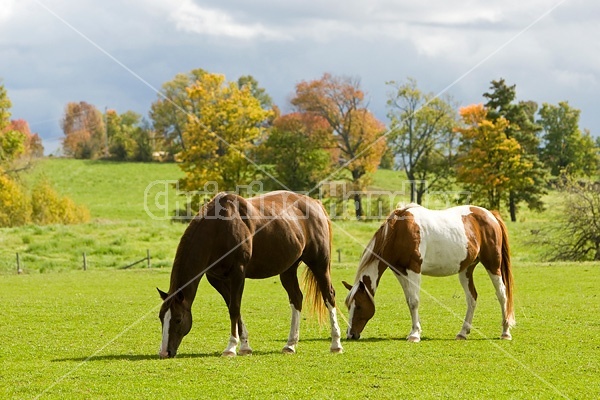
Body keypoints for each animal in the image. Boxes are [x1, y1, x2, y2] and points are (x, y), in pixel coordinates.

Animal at [157, 191, 344, 360]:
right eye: (161, 318)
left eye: (178, 319)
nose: (165, 352)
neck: (219, 229)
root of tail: (315, 204)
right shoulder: (217, 279)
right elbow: (233, 308)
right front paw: (245, 347)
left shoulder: (238, 274)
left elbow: (234, 308)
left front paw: (231, 348)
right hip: (288, 269)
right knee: (296, 298)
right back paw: (290, 345)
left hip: (319, 264)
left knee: (329, 296)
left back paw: (336, 344)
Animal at [342, 205, 516, 342]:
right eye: (348, 305)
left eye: (358, 306)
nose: (351, 335)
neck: (398, 231)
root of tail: (490, 215)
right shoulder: (400, 271)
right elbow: (409, 301)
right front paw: (415, 330)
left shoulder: (414, 269)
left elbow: (414, 301)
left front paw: (414, 335)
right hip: (466, 270)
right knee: (472, 298)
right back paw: (462, 333)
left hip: (493, 265)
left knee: (502, 295)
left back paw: (505, 332)